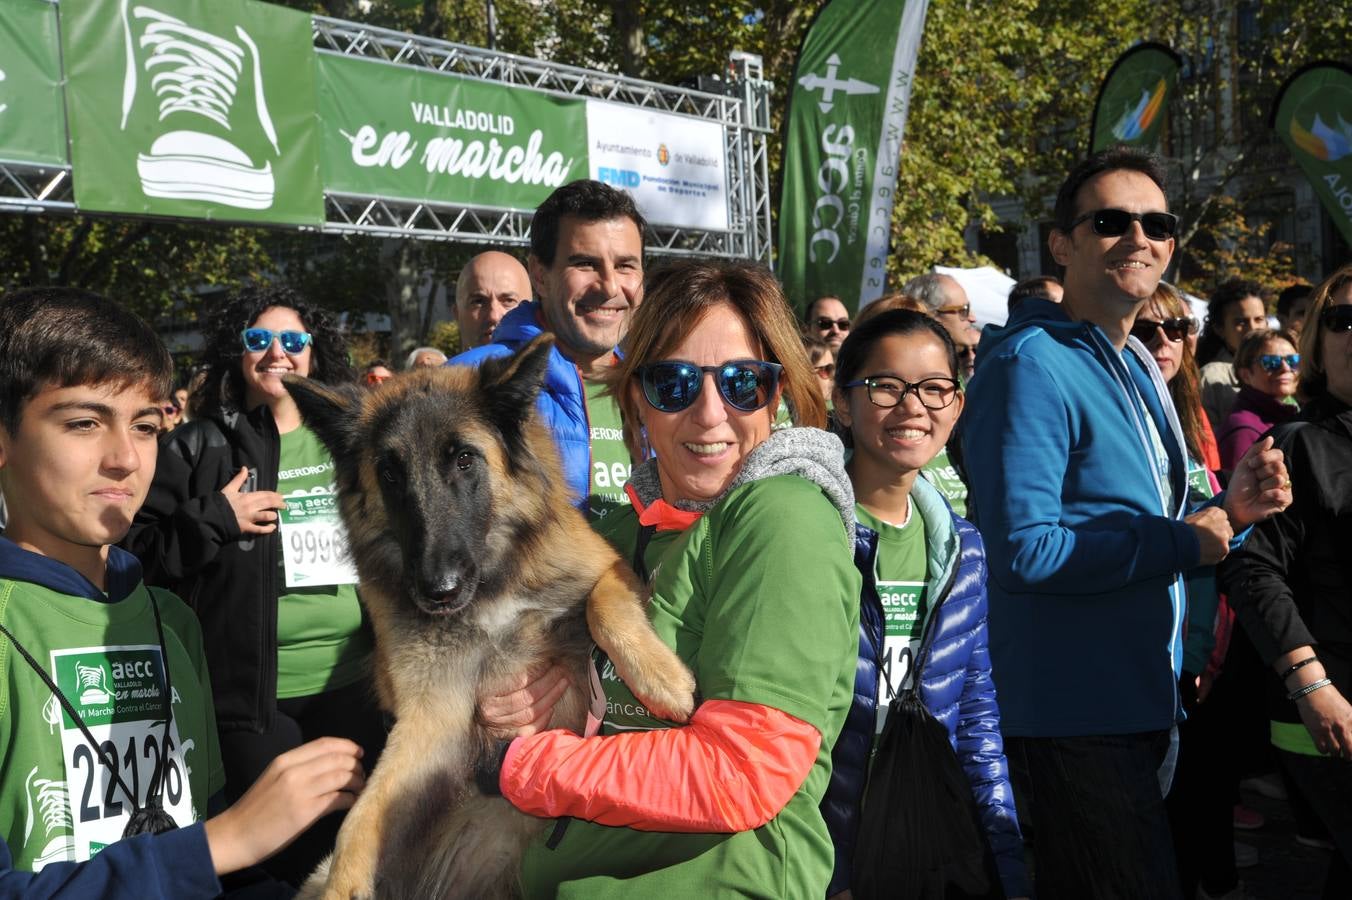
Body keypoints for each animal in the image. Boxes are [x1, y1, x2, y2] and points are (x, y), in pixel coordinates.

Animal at [290, 332, 703, 891]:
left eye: (464, 460)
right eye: (390, 473)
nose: (437, 591)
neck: (490, 591)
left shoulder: (609, 569)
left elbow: (603, 604)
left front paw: (662, 680)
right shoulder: (432, 713)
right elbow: (361, 817)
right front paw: (345, 884)